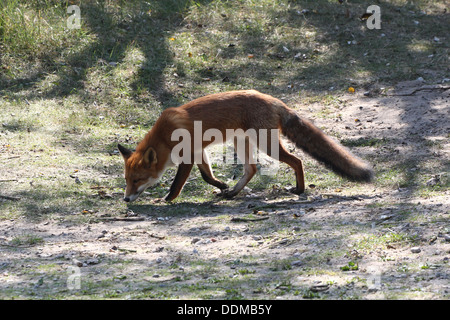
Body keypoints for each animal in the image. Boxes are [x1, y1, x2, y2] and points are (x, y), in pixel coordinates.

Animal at [117, 89, 372, 202]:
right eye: (127, 180)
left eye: (137, 180)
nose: (126, 199)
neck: (163, 136)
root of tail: (272, 99)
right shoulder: (199, 151)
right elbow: (207, 176)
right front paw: (221, 185)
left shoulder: (188, 154)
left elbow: (178, 182)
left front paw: (168, 198)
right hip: (242, 142)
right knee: (252, 169)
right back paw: (233, 192)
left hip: (266, 143)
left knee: (297, 160)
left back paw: (299, 189)